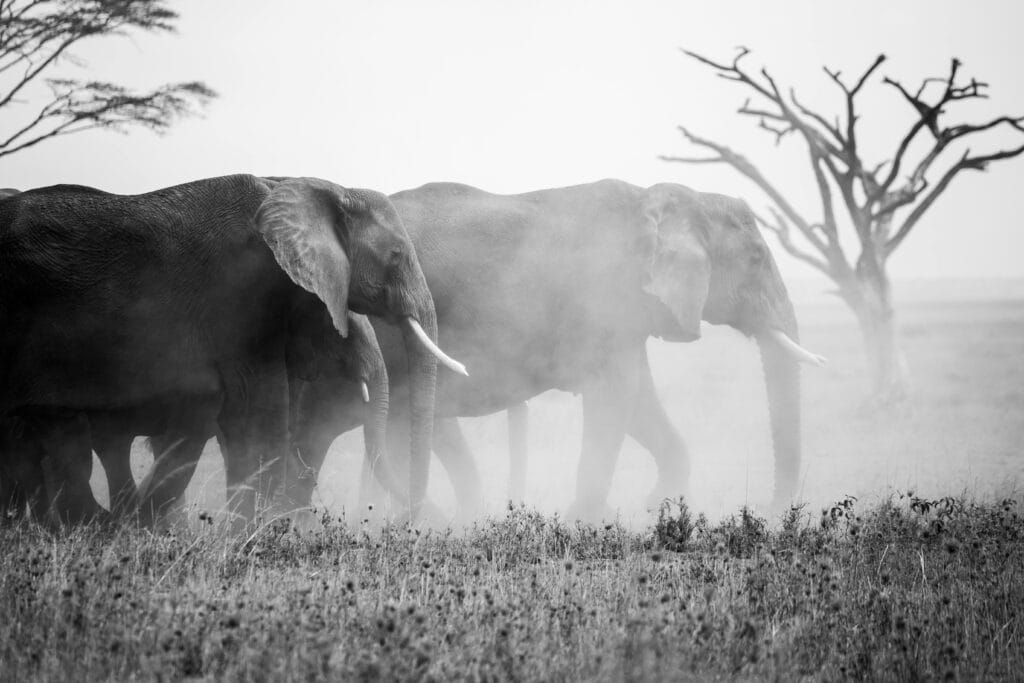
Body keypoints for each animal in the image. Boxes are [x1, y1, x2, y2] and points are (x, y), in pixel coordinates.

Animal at [0, 174, 465, 525]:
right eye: (397, 254)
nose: (402, 523)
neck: (317, 188)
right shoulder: (242, 295)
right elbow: (260, 414)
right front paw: (254, 538)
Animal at [286, 179, 823, 521]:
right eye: (755, 258)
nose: (770, 513)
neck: (669, 198)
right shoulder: (605, 298)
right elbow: (615, 399)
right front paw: (586, 520)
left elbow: (637, 402)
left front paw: (652, 506)